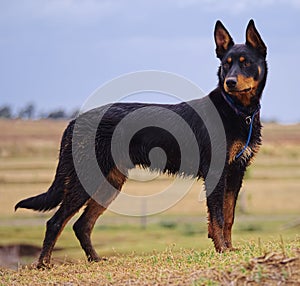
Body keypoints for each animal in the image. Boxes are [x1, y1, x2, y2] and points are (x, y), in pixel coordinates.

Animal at [15, 20, 268, 268]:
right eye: (226, 64)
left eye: (245, 63)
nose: (230, 82)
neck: (237, 110)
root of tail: (73, 121)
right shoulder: (217, 173)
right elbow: (218, 217)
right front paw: (222, 249)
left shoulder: (236, 172)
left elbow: (229, 215)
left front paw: (229, 249)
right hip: (86, 179)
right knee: (55, 221)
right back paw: (43, 263)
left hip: (110, 182)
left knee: (82, 224)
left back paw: (94, 259)